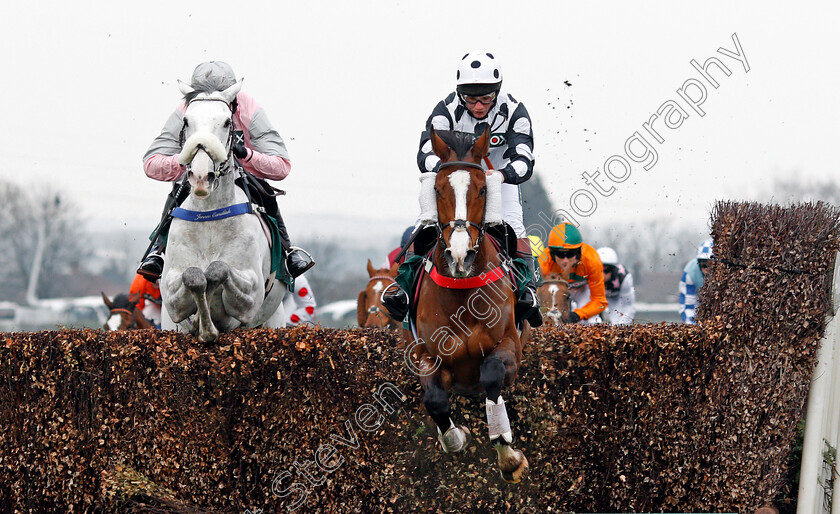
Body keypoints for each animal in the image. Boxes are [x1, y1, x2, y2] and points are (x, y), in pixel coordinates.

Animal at [159, 79, 288, 340]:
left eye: (227, 122)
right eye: (186, 121)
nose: (201, 177)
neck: (210, 216)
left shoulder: (250, 297)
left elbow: (217, 270)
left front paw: (208, 325)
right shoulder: (171, 297)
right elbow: (193, 275)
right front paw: (203, 324)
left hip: (273, 320)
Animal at [404, 126, 528, 482]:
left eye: (483, 189)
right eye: (437, 189)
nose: (461, 256)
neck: (462, 292)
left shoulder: (510, 346)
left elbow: (491, 376)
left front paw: (508, 457)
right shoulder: (426, 354)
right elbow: (435, 400)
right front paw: (455, 438)